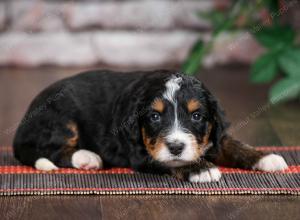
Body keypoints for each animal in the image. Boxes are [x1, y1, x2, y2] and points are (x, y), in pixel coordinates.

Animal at [12, 69, 288, 183]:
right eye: (154, 117)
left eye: (197, 116)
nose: (176, 146)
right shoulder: (141, 152)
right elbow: (170, 161)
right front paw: (200, 169)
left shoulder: (212, 136)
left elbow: (230, 143)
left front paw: (265, 157)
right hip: (62, 119)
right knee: (51, 150)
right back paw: (87, 158)